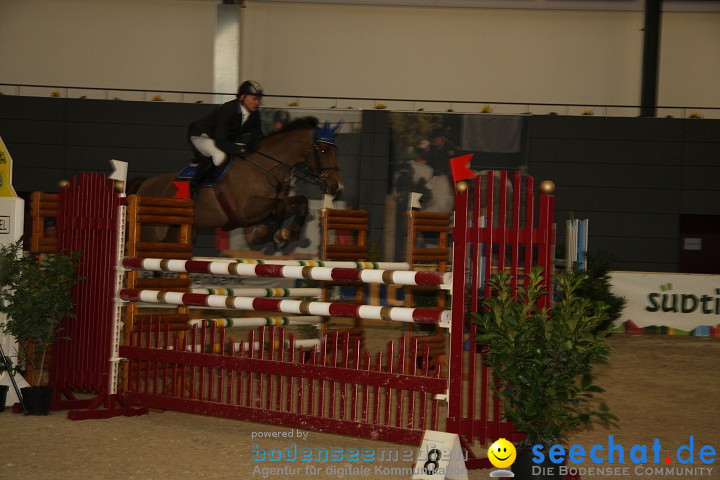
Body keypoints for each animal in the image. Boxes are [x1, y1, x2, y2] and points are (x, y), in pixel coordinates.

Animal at [136, 115, 344, 246]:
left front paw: (284, 233)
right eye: (323, 150)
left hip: (178, 233)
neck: (266, 167)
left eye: (336, 150)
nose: (335, 186)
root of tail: (144, 185)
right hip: (152, 233)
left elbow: (300, 202)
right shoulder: (247, 208)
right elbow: (280, 207)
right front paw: (266, 232)